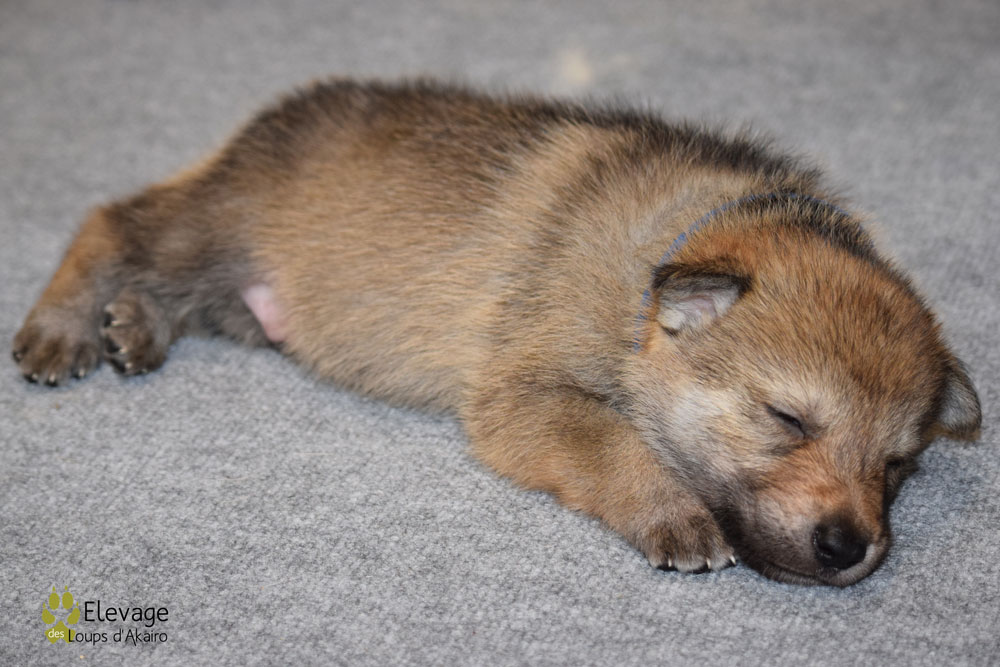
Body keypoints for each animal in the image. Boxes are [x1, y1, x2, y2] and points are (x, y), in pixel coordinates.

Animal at [12, 79, 982, 586]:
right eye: (787, 419)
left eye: (899, 465)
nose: (850, 546)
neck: (646, 283)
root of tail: (270, 117)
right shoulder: (523, 396)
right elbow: (618, 445)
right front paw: (676, 515)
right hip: (213, 226)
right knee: (114, 223)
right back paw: (61, 329)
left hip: (238, 295)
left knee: (176, 292)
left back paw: (133, 328)